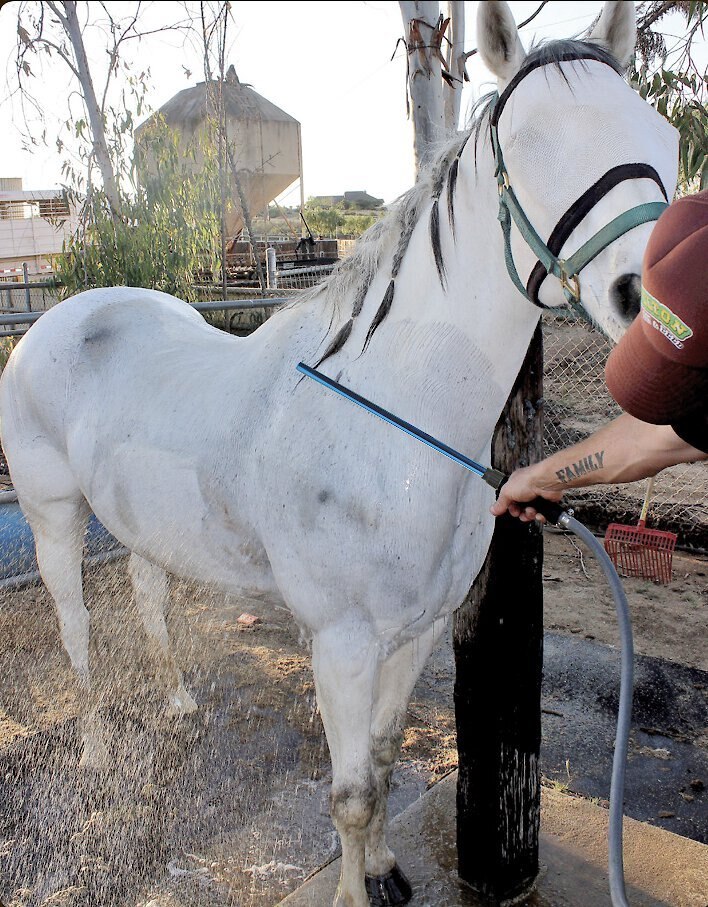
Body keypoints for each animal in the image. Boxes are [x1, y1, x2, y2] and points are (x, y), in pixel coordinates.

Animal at [0, 1, 676, 907]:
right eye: (533, 141)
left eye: (663, 134)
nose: (655, 306)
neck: (392, 424)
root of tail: (59, 317)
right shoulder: (344, 646)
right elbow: (350, 792)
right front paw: (358, 887)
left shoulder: (417, 632)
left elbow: (384, 761)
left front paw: (387, 867)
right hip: (54, 518)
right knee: (76, 628)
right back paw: (98, 748)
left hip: (142, 523)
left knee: (149, 598)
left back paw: (178, 698)